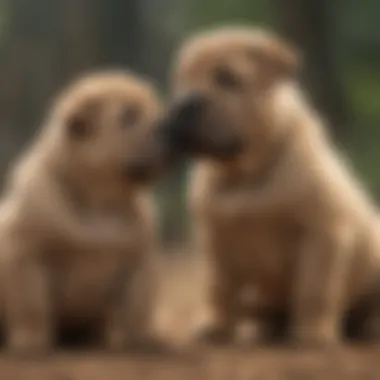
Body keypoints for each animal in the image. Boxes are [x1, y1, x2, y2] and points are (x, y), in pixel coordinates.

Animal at [0, 70, 171, 354]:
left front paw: (143, 340)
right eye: (128, 117)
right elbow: (32, 304)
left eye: (156, 109)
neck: (100, 200)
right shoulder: (25, 254)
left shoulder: (140, 260)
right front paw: (31, 341)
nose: (173, 128)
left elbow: (137, 307)